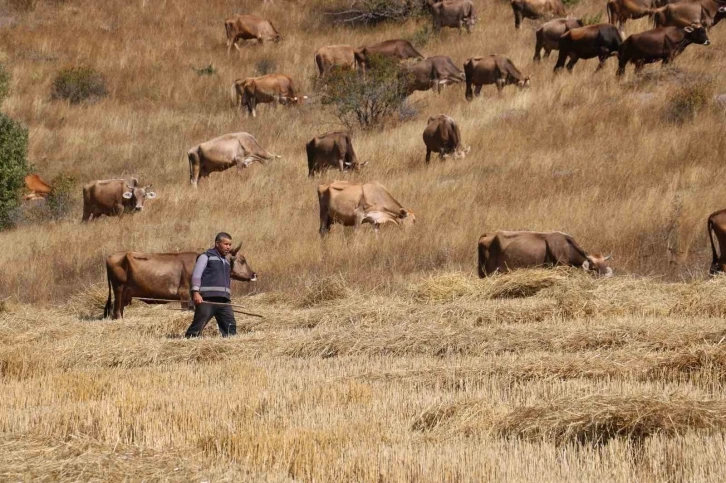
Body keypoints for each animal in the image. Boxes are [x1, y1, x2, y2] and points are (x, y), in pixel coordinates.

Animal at [104, 250, 258, 322]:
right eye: (242, 260)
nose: (254, 274)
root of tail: (110, 256)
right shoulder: (184, 295)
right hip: (119, 289)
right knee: (116, 311)